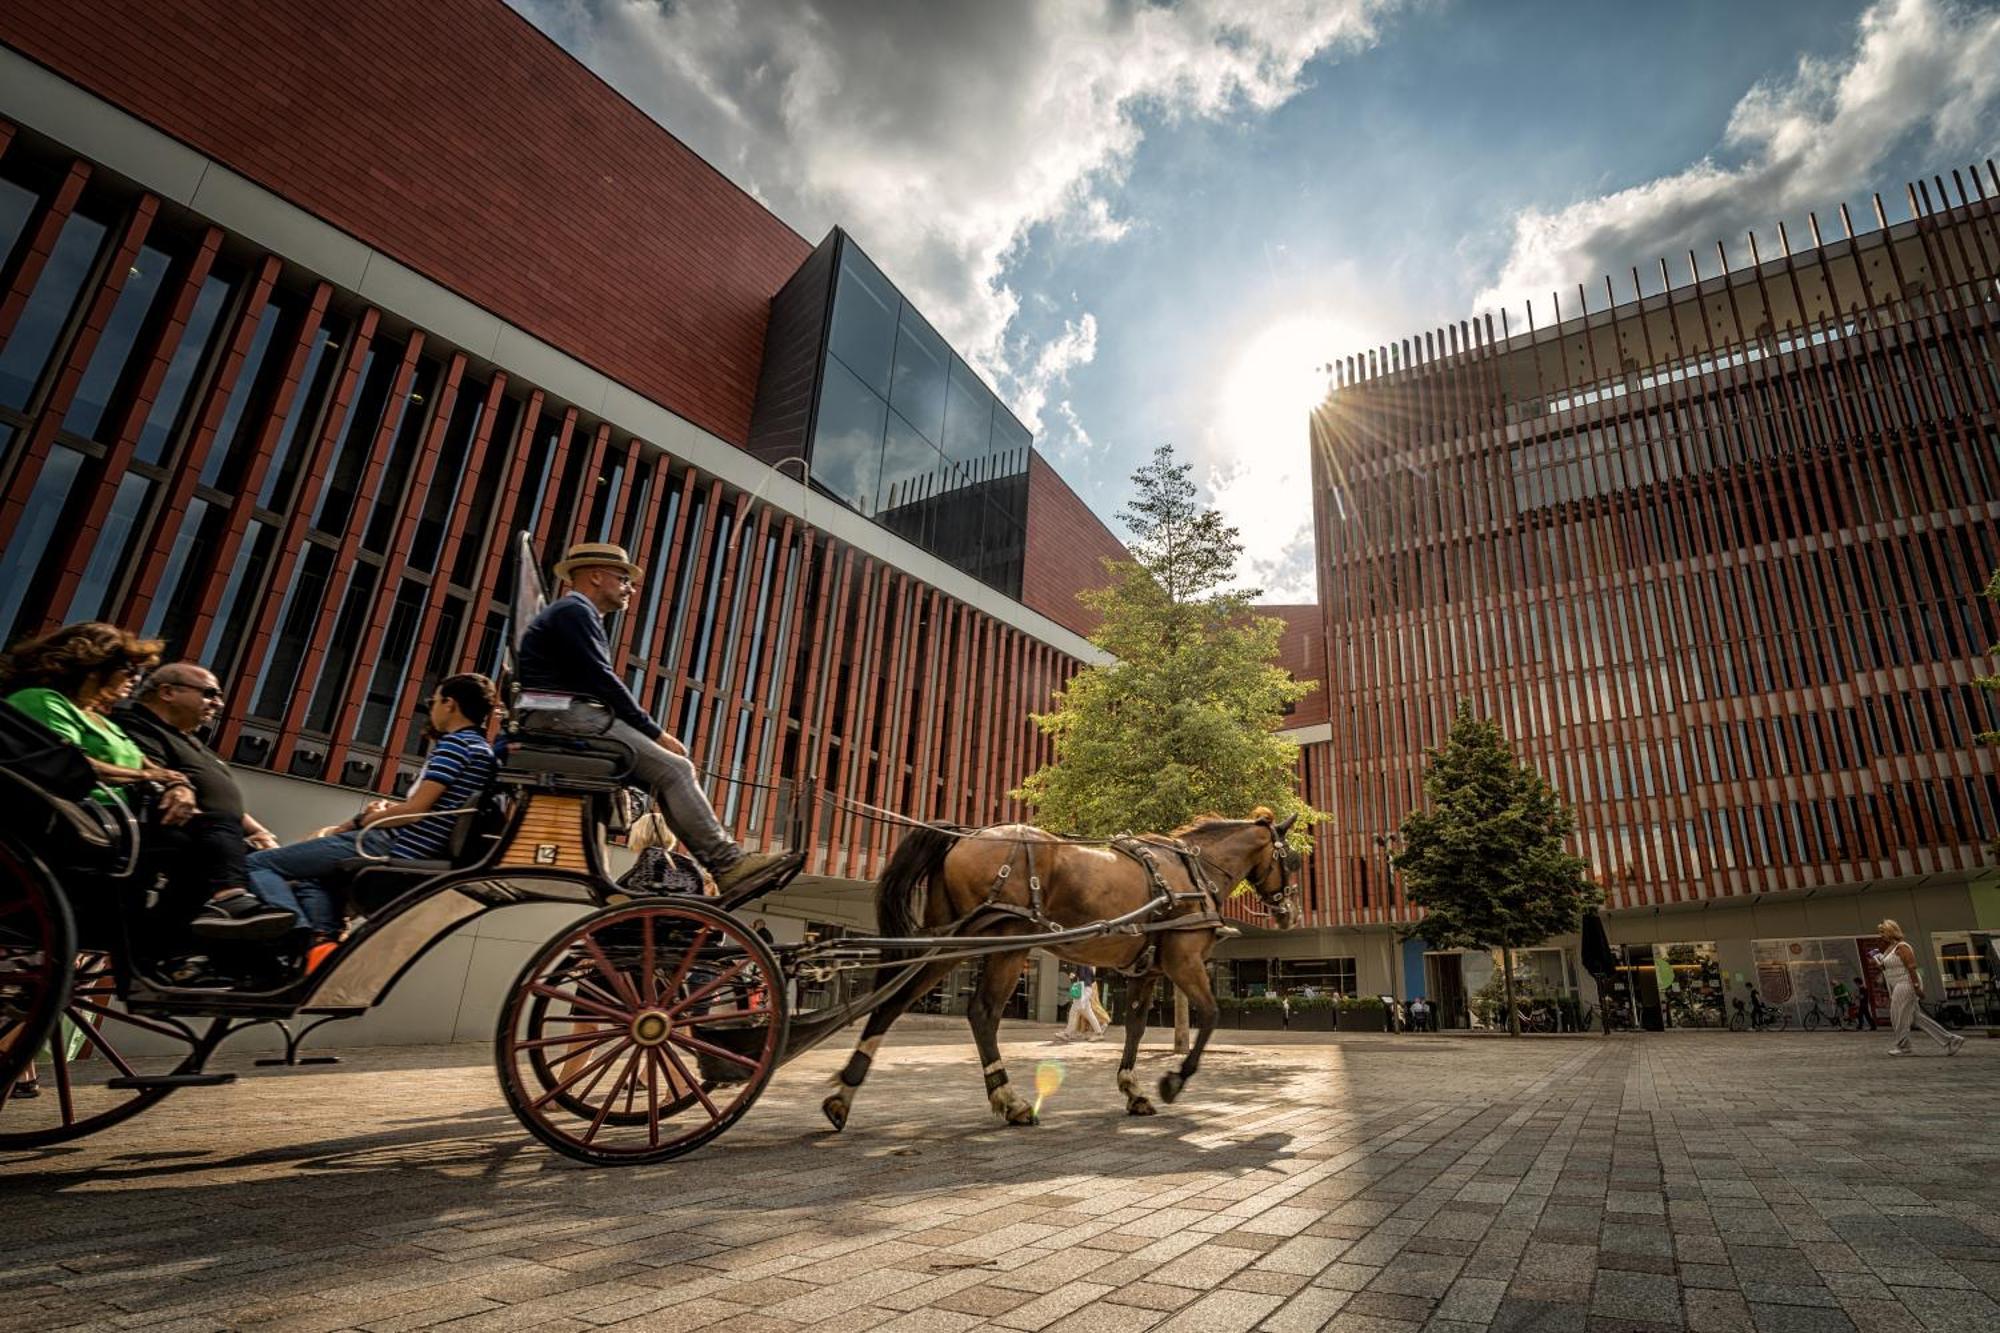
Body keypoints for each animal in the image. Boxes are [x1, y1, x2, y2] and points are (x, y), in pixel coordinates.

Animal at [812, 804, 1296, 1128]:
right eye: (1291, 859)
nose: (1290, 914)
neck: (1189, 871)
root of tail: (968, 835)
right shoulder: (1183, 961)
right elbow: (1211, 1015)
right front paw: (1173, 1080)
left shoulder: (1146, 970)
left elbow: (1136, 1027)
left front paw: (1133, 1089)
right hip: (1002, 944)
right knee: (982, 1013)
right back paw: (1010, 1100)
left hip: (950, 939)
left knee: (895, 1002)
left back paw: (844, 1094)